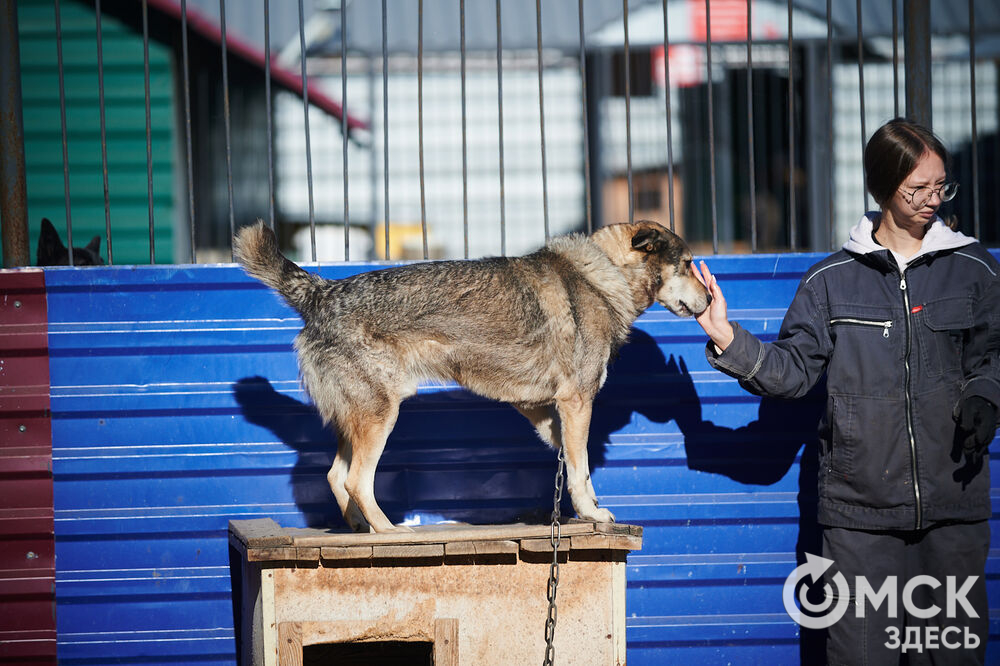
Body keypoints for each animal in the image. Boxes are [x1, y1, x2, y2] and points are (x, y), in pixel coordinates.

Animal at [236, 220, 712, 532]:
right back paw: (389, 533)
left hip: (358, 420)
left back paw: (359, 530)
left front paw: (585, 509)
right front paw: (593, 515)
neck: (602, 276)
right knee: (356, 481)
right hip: (381, 418)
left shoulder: (546, 410)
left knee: (336, 477)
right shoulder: (576, 402)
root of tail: (321, 290)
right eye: (689, 264)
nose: (710, 300)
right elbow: (580, 471)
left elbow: (578, 469)